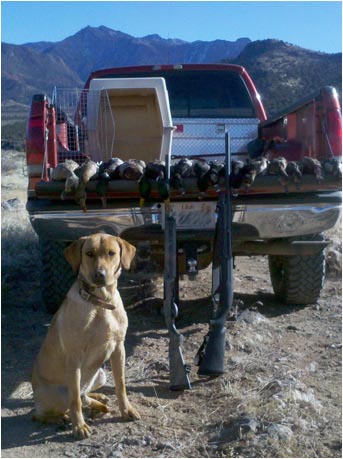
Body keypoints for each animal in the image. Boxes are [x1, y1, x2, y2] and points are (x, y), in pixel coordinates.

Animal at [31, 234, 141, 438]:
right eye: (89, 253)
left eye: (111, 253)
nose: (100, 275)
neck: (100, 302)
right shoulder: (74, 357)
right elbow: (75, 400)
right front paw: (79, 426)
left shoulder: (118, 348)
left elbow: (121, 385)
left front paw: (126, 410)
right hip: (58, 395)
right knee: (43, 412)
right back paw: (60, 418)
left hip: (101, 374)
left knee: (85, 395)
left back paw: (99, 401)